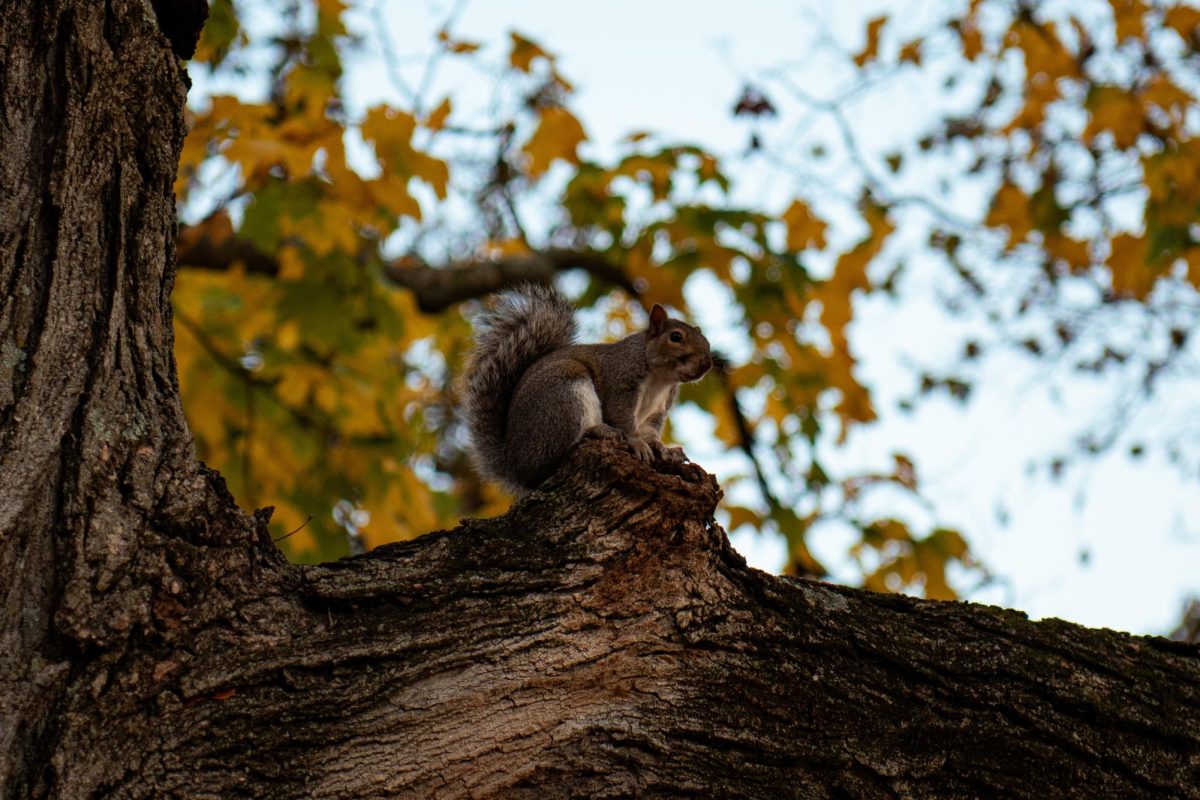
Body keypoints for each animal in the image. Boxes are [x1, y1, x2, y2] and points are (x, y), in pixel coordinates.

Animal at [463, 281, 710, 494]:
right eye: (676, 337)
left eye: (706, 340)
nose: (706, 364)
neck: (660, 378)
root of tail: (517, 466)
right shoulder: (621, 380)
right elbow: (621, 415)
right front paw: (637, 443)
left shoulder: (658, 408)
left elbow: (651, 430)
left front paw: (663, 449)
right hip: (563, 395)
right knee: (556, 454)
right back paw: (595, 431)